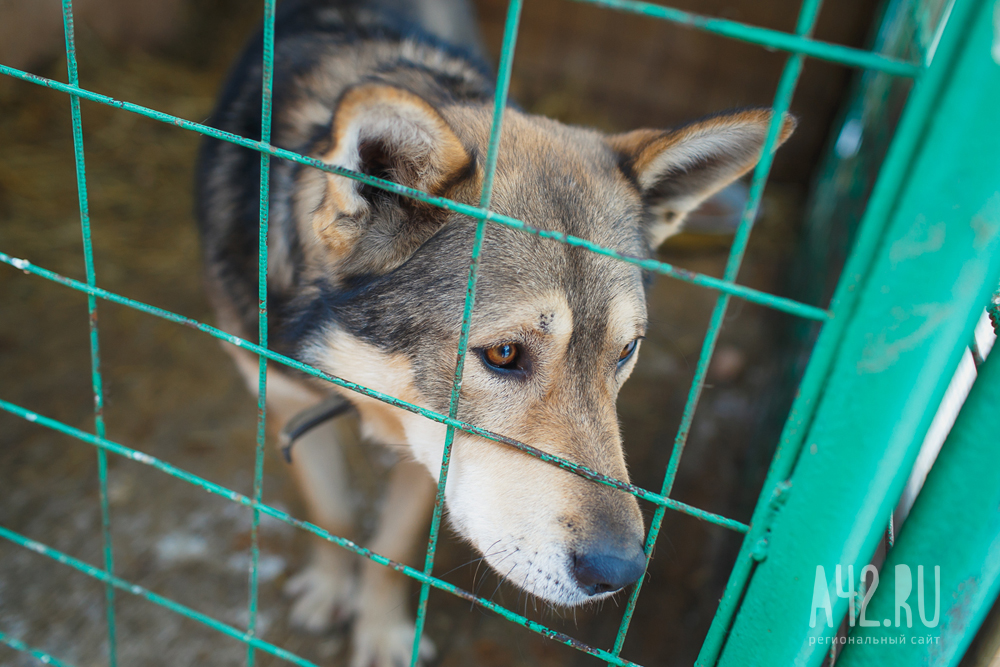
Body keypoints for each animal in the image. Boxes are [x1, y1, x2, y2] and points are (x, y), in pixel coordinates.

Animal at [193, 2, 788, 664]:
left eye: (626, 351)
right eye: (504, 353)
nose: (622, 571)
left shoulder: (429, 451)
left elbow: (392, 550)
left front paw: (381, 633)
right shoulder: (286, 400)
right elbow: (333, 515)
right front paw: (328, 590)